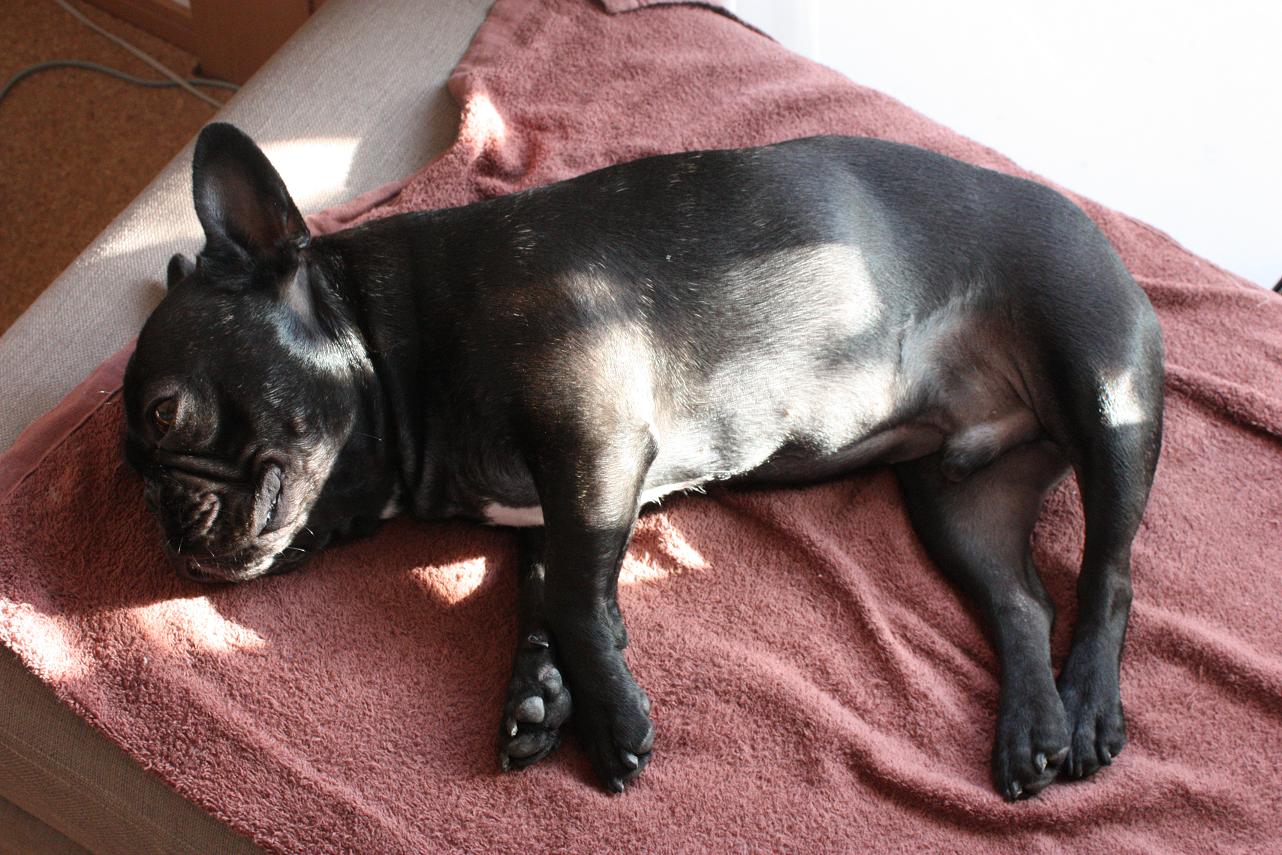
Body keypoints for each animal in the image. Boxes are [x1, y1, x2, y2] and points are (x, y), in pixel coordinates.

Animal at [123, 122, 1163, 800]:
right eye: (131, 468)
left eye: (169, 416)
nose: (164, 520)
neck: (394, 341)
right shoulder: (563, 500)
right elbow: (550, 591)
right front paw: (542, 696)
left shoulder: (595, 437)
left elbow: (580, 598)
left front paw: (611, 718)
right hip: (959, 501)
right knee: (1021, 600)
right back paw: (1033, 729)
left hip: (1105, 390)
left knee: (1109, 573)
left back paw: (1088, 705)